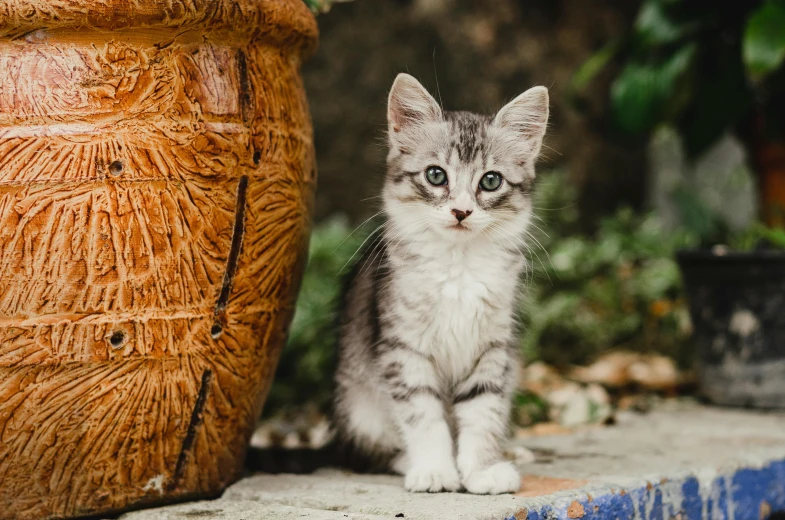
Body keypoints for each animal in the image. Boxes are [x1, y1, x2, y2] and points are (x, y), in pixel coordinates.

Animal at [330, 74, 544, 496]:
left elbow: (482, 411)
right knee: (370, 452)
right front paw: (434, 469)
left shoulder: (491, 347)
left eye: (490, 181)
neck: (457, 268)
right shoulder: (403, 348)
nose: (461, 211)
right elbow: (423, 415)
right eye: (435, 175)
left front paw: (481, 469)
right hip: (359, 406)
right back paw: (404, 461)